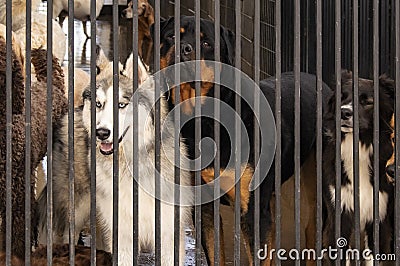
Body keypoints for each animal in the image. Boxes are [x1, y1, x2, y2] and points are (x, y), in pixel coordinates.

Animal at [155, 16, 330, 264]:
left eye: (206, 43)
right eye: (171, 36)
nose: (183, 48)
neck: (204, 119)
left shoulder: (253, 211)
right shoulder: (205, 206)